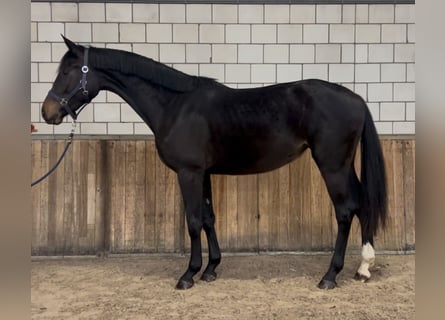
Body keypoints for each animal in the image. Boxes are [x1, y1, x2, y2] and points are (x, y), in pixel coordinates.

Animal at [41, 37, 386, 290]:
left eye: (68, 72)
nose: (47, 112)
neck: (175, 106)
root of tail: (356, 99)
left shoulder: (189, 173)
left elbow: (193, 221)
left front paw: (188, 275)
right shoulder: (203, 174)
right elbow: (208, 218)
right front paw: (210, 269)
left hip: (332, 166)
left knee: (345, 211)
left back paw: (330, 276)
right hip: (343, 166)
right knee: (361, 204)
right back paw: (363, 268)